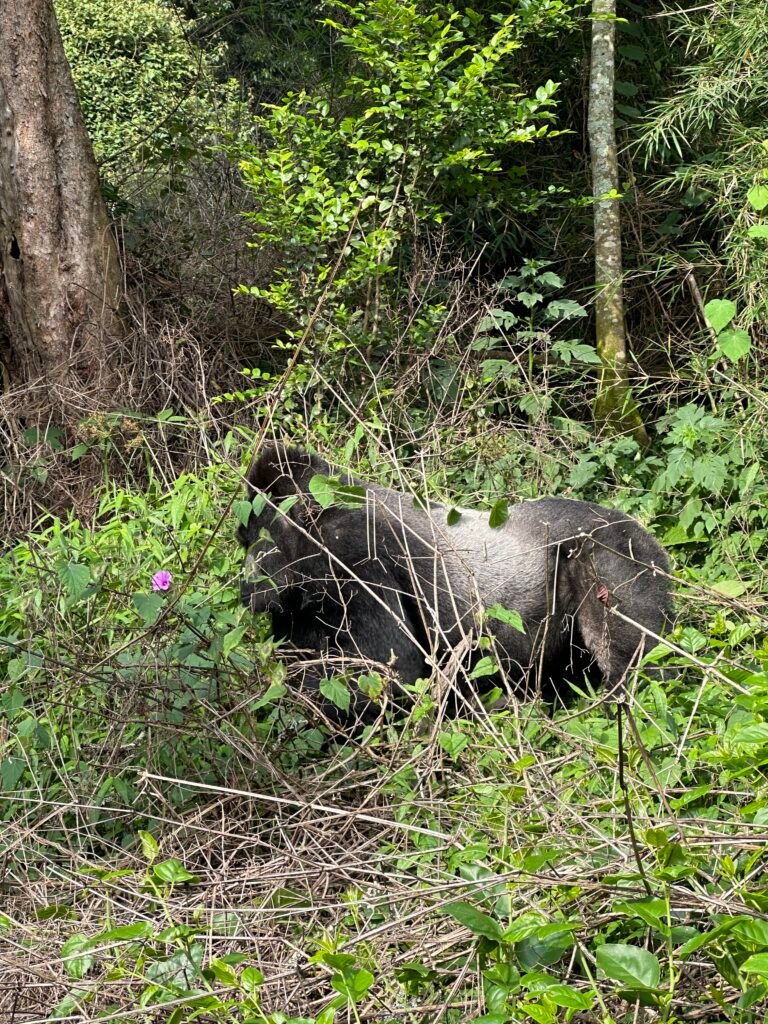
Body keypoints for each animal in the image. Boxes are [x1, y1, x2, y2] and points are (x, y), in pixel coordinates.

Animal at [237, 443, 671, 726]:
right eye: (244, 541)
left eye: (262, 541)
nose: (247, 585)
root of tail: (647, 537)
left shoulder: (355, 551)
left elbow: (391, 675)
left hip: (620, 553)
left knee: (635, 668)